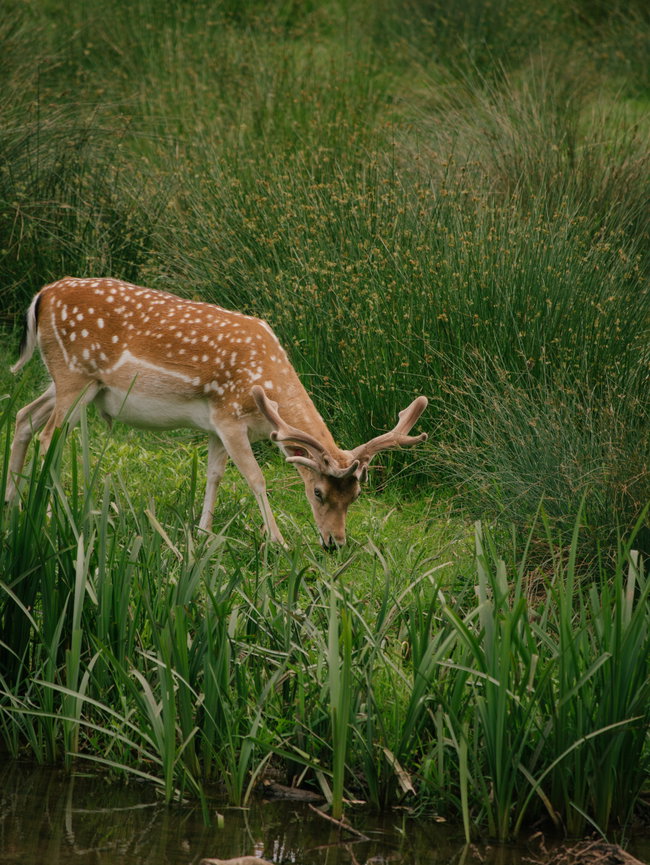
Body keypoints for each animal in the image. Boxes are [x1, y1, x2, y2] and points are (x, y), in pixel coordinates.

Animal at [6, 277, 428, 549]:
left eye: (355, 496)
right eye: (318, 492)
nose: (334, 543)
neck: (264, 385)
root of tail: (41, 295)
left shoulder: (214, 426)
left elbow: (215, 475)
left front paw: (203, 533)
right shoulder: (229, 417)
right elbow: (256, 478)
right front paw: (278, 541)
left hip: (73, 383)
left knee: (23, 416)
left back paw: (14, 501)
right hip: (74, 374)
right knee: (49, 436)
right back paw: (50, 513)